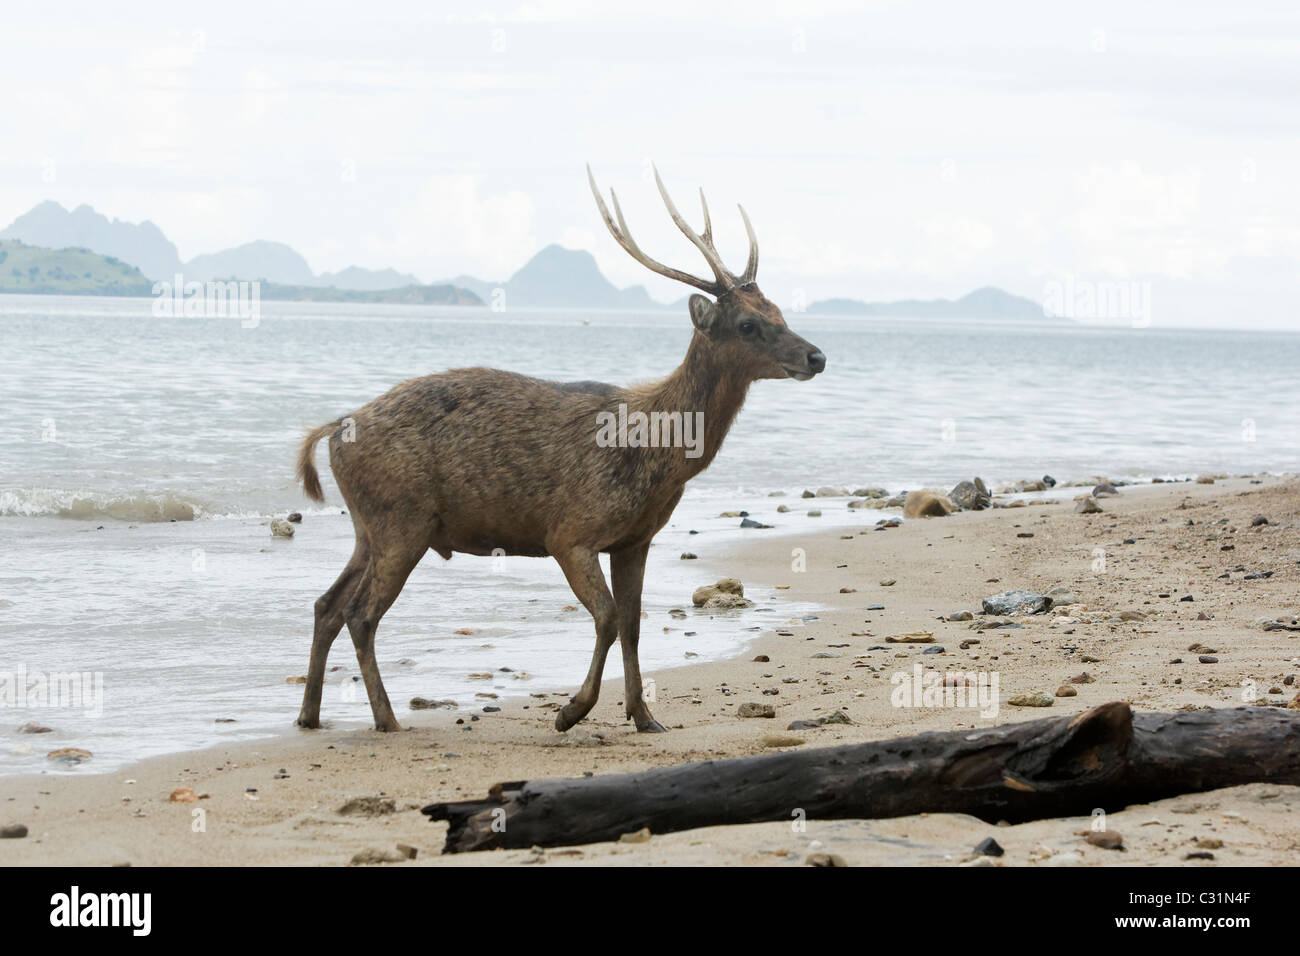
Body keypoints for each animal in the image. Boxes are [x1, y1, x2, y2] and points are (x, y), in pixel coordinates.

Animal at [295, 164, 821, 733]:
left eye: (778, 310)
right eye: (748, 324)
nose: (817, 356)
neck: (659, 459)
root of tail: (332, 430)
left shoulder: (636, 539)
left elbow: (633, 622)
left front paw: (644, 717)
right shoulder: (569, 531)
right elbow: (608, 618)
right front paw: (572, 711)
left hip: (368, 525)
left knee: (327, 604)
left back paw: (309, 714)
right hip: (401, 519)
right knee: (361, 613)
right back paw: (387, 719)